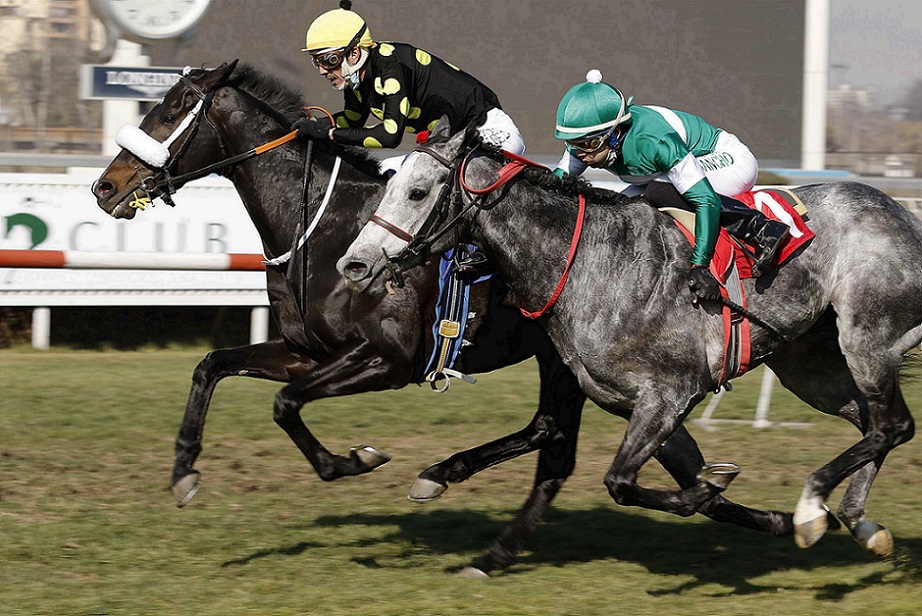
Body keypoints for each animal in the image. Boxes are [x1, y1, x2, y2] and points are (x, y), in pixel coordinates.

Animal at [339, 117, 922, 558]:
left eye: (417, 191)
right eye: (388, 186)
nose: (354, 264)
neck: (589, 263)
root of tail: (902, 212)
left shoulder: (668, 395)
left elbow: (626, 483)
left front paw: (724, 487)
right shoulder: (636, 403)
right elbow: (681, 484)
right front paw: (750, 505)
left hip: (865, 336)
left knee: (892, 423)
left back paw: (814, 505)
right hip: (811, 367)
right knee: (878, 425)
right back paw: (856, 523)